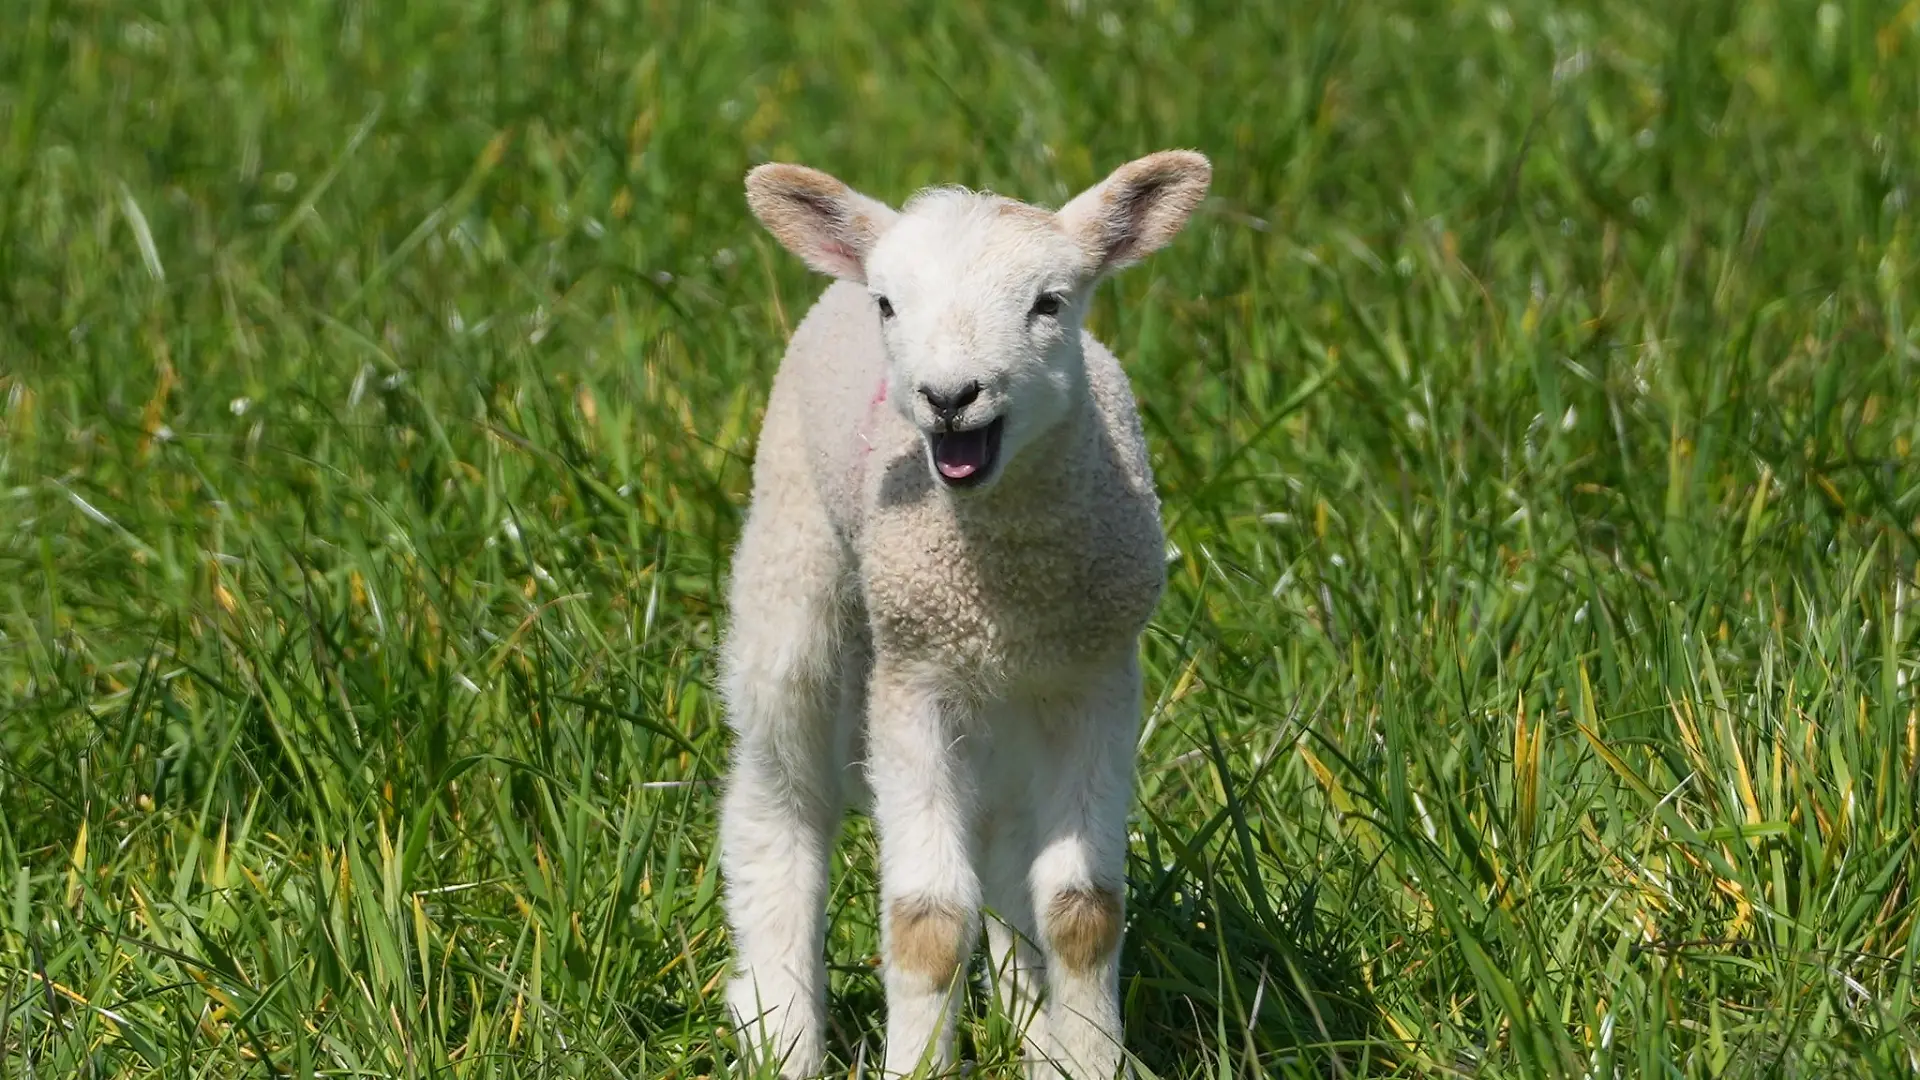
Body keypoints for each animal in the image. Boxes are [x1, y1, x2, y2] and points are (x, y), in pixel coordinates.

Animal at [718, 150, 1211, 1080]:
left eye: (1050, 302)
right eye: (889, 304)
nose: (950, 395)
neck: (1004, 581)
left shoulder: (1095, 676)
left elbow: (1083, 911)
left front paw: (1086, 1059)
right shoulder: (914, 680)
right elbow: (929, 925)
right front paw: (918, 1063)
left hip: (1006, 707)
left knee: (1004, 845)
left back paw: (1033, 1032)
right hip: (792, 569)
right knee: (779, 799)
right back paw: (781, 1032)